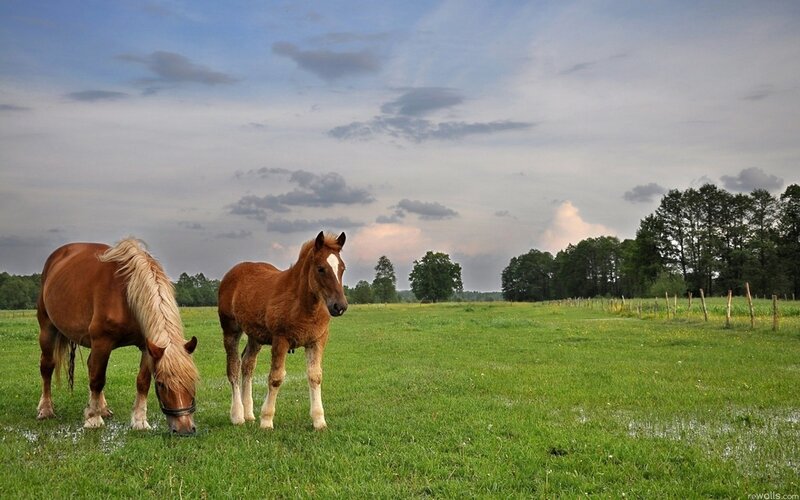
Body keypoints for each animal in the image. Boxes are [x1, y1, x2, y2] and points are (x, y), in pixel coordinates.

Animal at [36, 238, 200, 435]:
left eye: (192, 381)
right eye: (161, 384)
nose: (185, 429)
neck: (127, 293)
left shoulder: (147, 347)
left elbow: (142, 382)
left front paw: (139, 420)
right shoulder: (102, 342)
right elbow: (98, 379)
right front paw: (93, 419)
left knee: (90, 366)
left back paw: (102, 408)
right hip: (47, 329)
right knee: (47, 367)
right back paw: (46, 409)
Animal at [218, 231, 348, 430]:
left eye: (342, 268)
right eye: (320, 268)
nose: (339, 306)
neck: (303, 305)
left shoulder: (317, 340)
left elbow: (315, 376)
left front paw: (319, 420)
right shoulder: (281, 340)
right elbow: (276, 377)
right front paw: (266, 420)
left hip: (255, 336)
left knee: (248, 364)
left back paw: (249, 414)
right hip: (230, 329)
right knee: (233, 367)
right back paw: (237, 415)